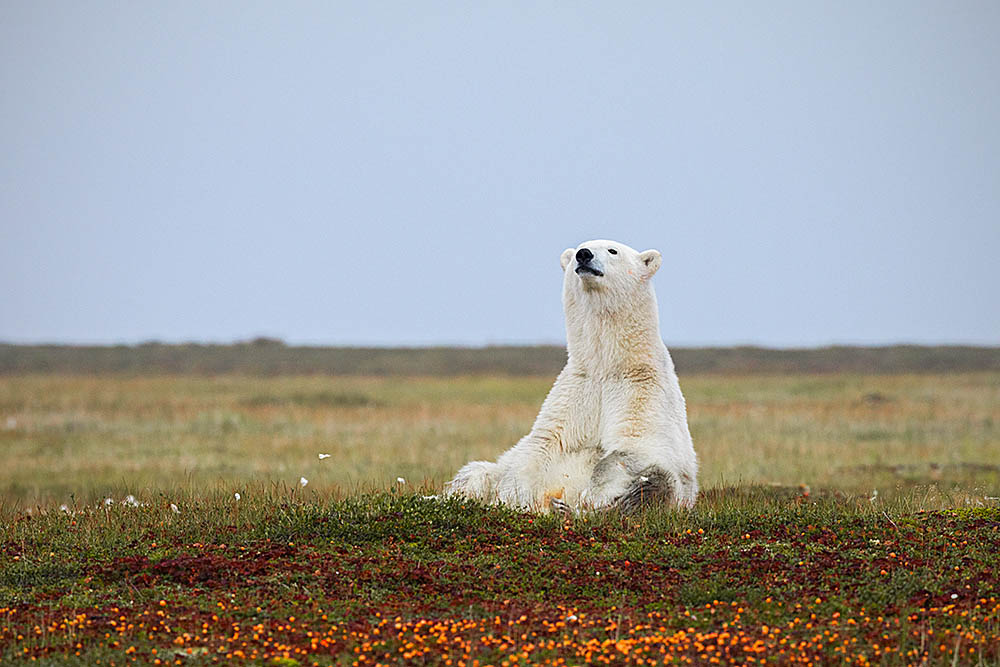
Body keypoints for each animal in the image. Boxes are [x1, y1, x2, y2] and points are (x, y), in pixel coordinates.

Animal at [450, 239, 700, 512]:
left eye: (613, 250)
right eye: (581, 247)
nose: (583, 255)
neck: (605, 367)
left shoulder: (641, 389)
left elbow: (632, 448)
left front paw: (590, 497)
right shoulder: (575, 392)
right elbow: (540, 447)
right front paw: (514, 498)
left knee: (654, 485)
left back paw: (566, 508)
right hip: (490, 468)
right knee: (475, 473)